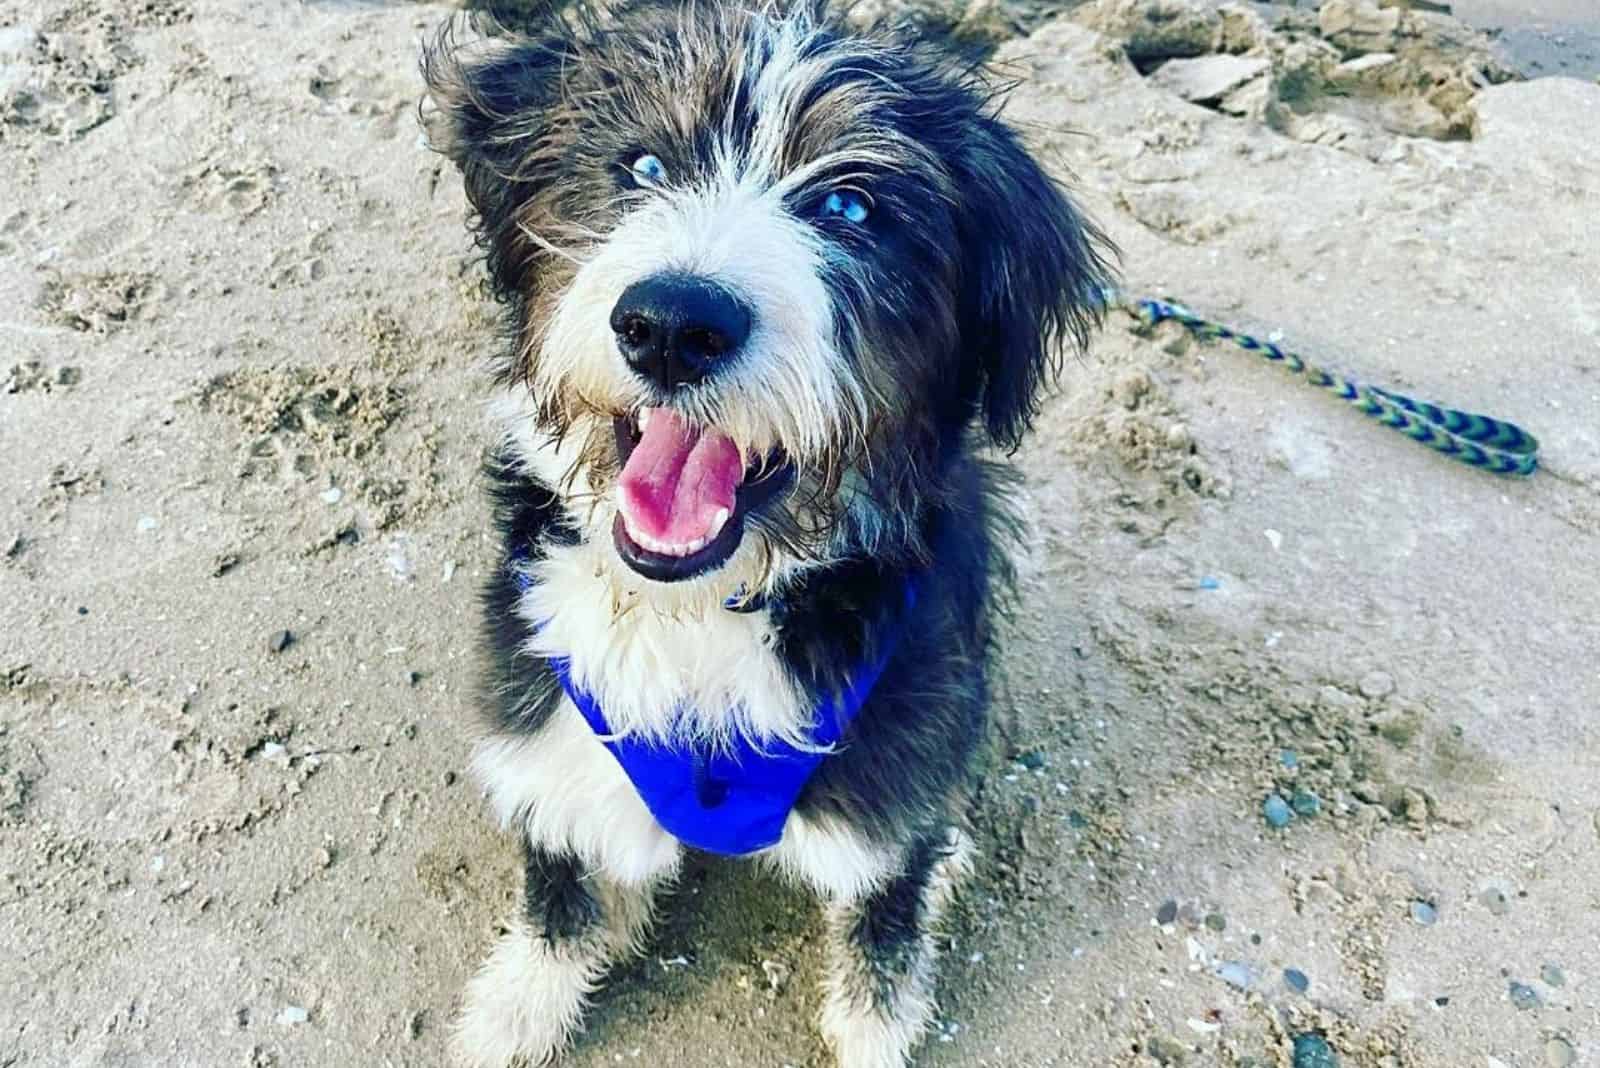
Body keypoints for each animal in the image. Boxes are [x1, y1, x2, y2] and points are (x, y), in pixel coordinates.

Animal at [419, 4, 1107, 1061]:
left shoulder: (891, 777)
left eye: (852, 208)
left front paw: (876, 1028)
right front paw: (519, 1008)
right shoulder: (545, 711)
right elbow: (559, 879)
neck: (702, 611)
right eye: (643, 165)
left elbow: (882, 925)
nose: (672, 325)